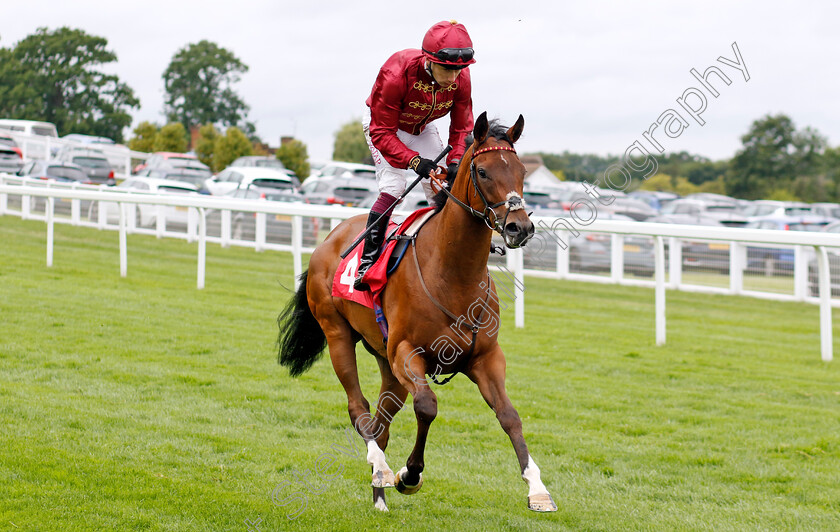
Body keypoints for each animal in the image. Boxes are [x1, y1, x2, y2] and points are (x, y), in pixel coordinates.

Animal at [276, 111, 560, 512]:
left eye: (521, 171)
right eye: (483, 171)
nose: (520, 227)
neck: (453, 274)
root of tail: (328, 240)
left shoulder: (485, 357)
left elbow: (510, 416)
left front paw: (537, 488)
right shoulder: (407, 353)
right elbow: (427, 406)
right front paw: (409, 474)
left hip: (385, 359)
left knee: (381, 421)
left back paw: (379, 496)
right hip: (338, 335)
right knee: (359, 409)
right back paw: (381, 469)